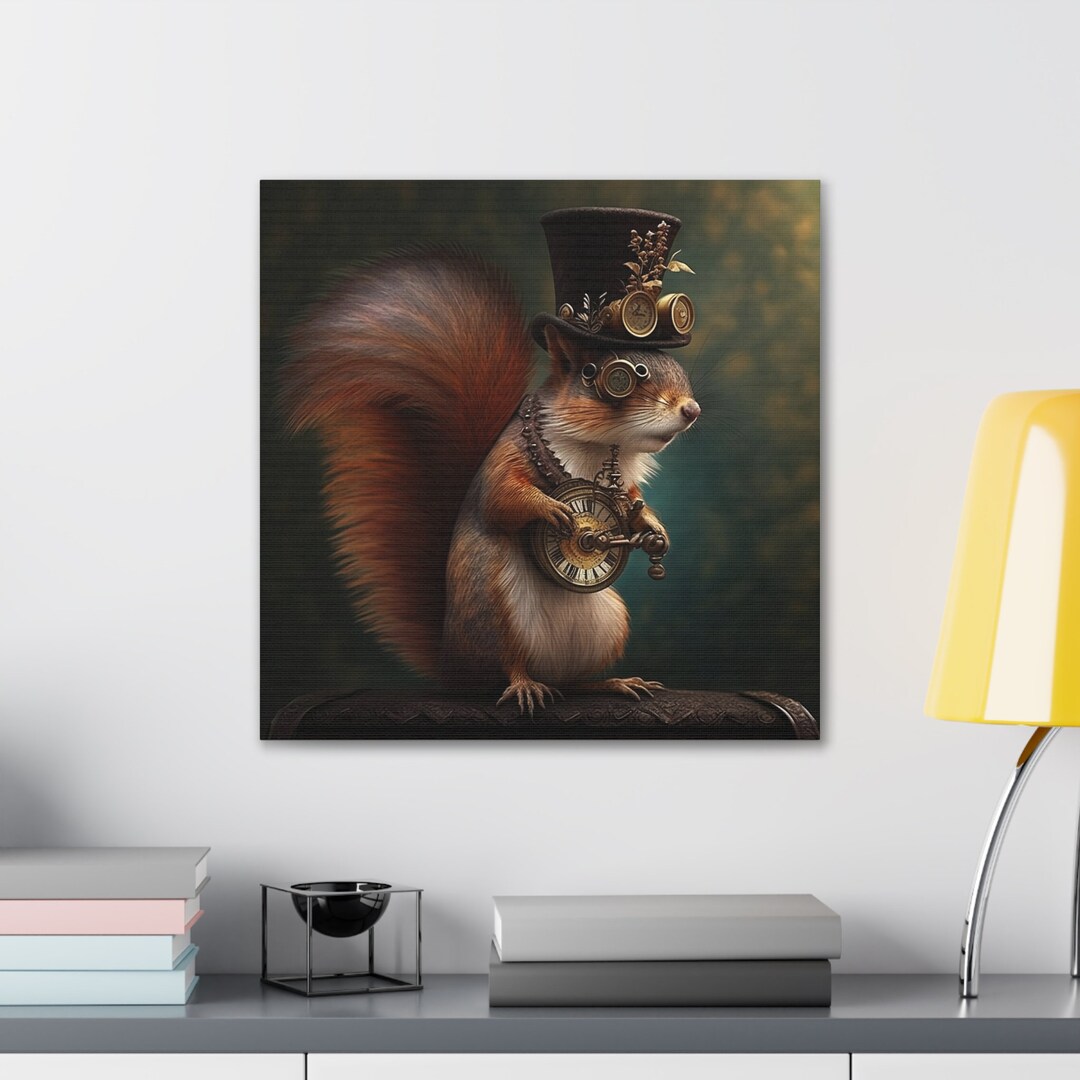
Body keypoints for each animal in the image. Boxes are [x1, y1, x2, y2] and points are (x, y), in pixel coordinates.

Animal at [282, 242, 701, 716]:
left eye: (675, 367)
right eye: (613, 375)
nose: (692, 410)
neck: (603, 449)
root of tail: (451, 666)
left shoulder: (621, 486)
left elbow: (631, 503)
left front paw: (654, 529)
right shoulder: (507, 458)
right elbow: (503, 498)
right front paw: (554, 510)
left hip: (607, 624)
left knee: (574, 680)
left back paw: (614, 682)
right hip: (496, 611)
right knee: (508, 664)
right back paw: (525, 687)